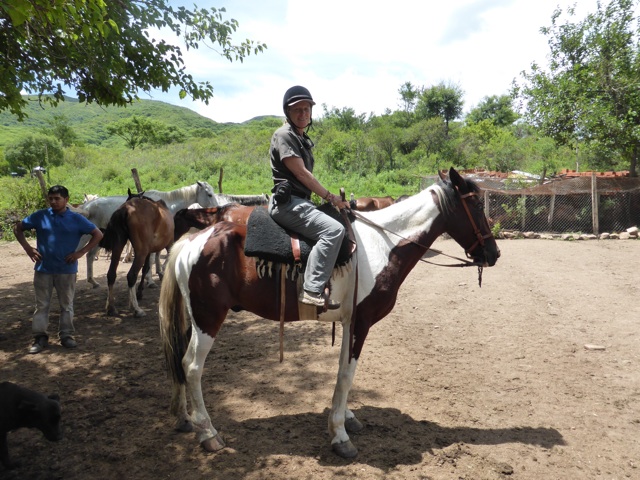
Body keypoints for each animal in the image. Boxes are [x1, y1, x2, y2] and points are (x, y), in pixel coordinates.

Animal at [77, 181, 216, 287]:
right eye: (209, 194)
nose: (216, 208)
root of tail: (87, 207)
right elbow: (153, 258)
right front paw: (150, 280)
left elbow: (157, 256)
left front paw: (159, 273)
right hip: (86, 237)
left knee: (89, 256)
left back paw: (93, 282)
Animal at [158, 167, 500, 458]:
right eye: (476, 205)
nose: (493, 253)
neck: (382, 244)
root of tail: (193, 240)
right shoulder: (361, 322)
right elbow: (347, 374)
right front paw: (339, 435)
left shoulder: (349, 323)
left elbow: (341, 371)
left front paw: (345, 417)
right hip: (208, 318)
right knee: (191, 366)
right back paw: (208, 433)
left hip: (194, 318)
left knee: (179, 360)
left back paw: (184, 418)